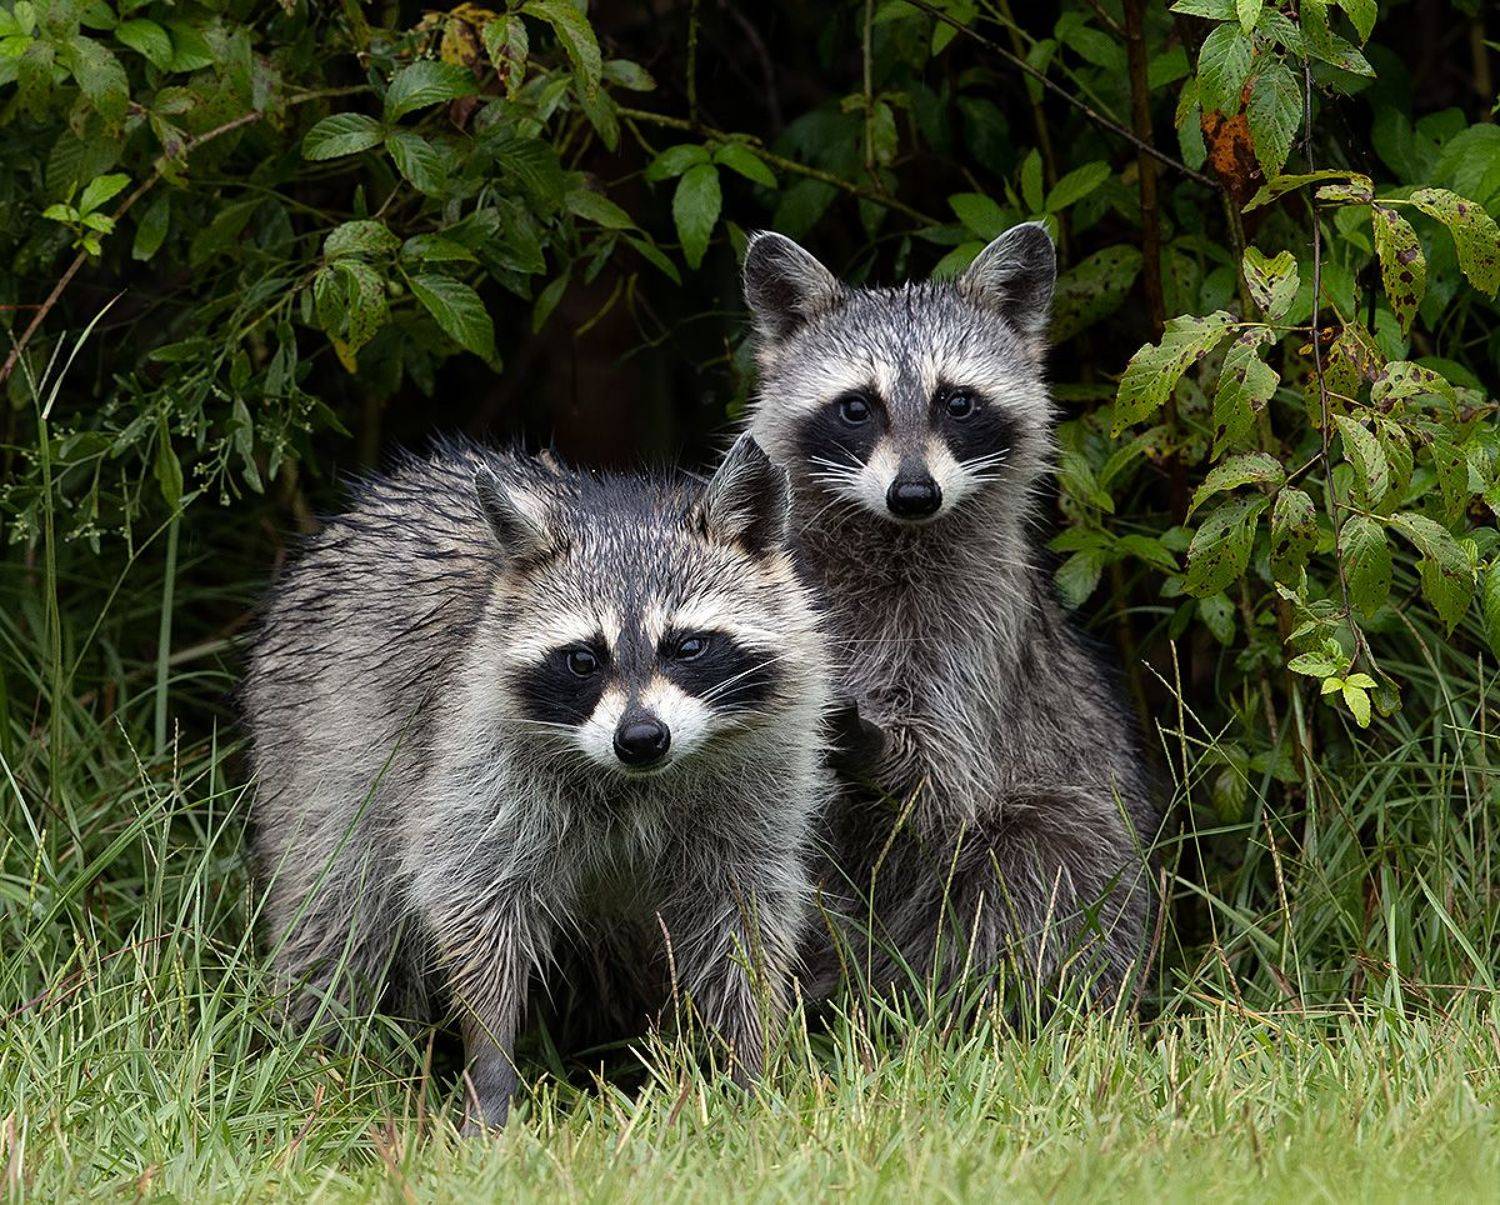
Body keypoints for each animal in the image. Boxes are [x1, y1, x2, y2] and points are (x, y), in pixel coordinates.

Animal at [244, 434, 832, 1132]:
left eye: (688, 646)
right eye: (583, 659)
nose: (641, 738)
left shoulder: (761, 776)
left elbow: (744, 919)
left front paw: (750, 1068)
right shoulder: (475, 761)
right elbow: (474, 907)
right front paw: (492, 1074)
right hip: (317, 752)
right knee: (337, 912)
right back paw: (321, 1054)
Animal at [740, 225, 1158, 1009]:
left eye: (957, 402)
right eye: (857, 407)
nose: (914, 493)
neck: (892, 536)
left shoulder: (977, 619)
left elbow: (948, 777)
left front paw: (879, 747)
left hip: (1081, 827)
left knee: (1044, 872)